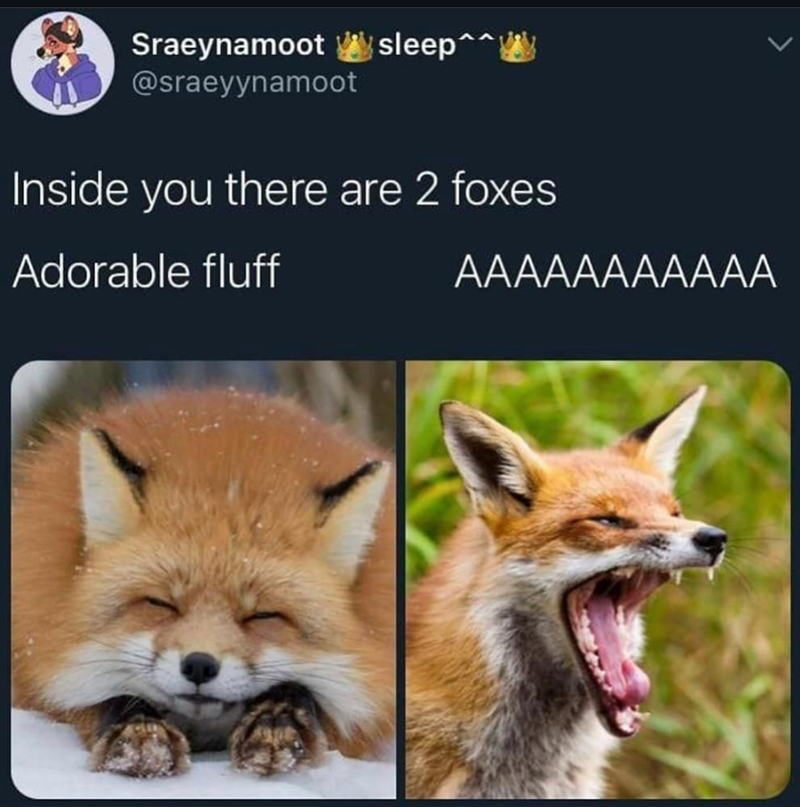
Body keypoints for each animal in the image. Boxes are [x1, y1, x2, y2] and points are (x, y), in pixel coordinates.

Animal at [12, 388, 395, 778]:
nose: (199, 665)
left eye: (263, 616)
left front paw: (277, 723)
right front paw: (138, 732)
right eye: (161, 603)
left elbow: (300, 692)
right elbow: (111, 698)